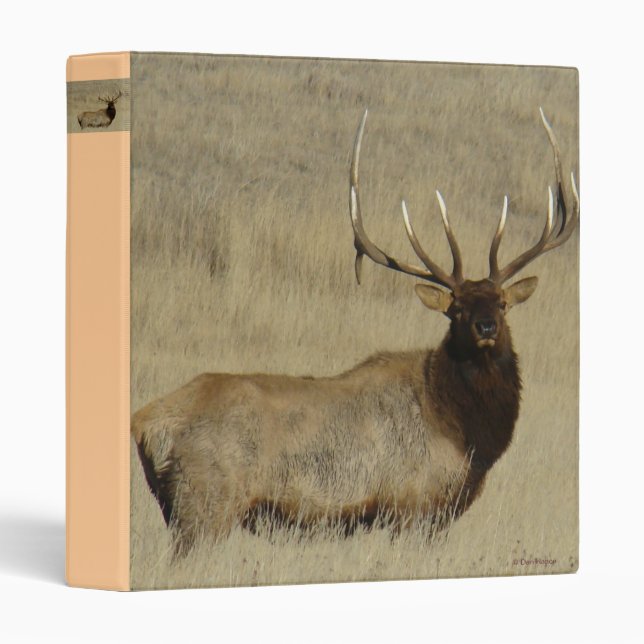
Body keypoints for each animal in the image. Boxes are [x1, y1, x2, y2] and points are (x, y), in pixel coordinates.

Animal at [132, 108, 579, 553]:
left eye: (501, 302)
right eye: (456, 309)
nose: (486, 326)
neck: (463, 433)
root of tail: (146, 423)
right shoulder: (410, 505)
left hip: (178, 506)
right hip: (205, 503)